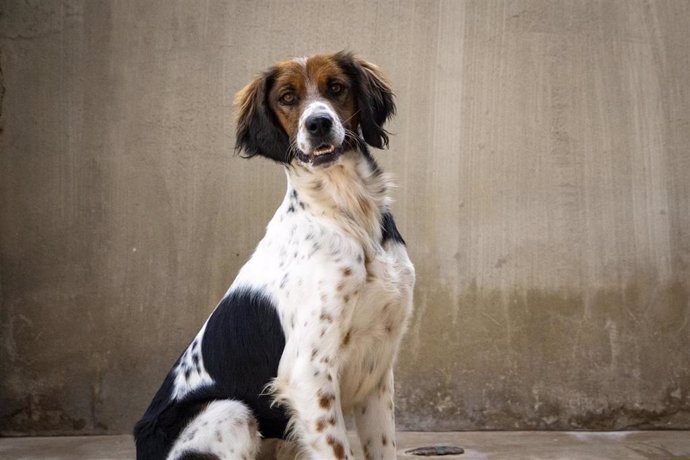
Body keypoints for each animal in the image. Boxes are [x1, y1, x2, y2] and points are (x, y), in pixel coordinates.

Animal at [134, 51, 414, 460]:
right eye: (287, 97)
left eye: (336, 87)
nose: (318, 123)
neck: (348, 213)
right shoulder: (308, 373)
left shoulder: (377, 369)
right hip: (231, 411)